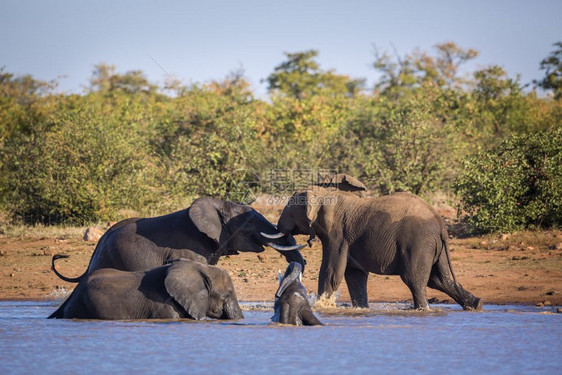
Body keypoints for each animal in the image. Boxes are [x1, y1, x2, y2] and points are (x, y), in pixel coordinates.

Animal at [272, 176, 482, 312]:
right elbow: (355, 275)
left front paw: (321, 306)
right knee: (440, 279)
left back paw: (423, 309)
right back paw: (475, 304)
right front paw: (361, 308)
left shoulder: (337, 235)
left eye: (289, 209)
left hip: (418, 243)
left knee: (414, 279)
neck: (325, 195)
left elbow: (331, 272)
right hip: (433, 245)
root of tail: (440, 223)